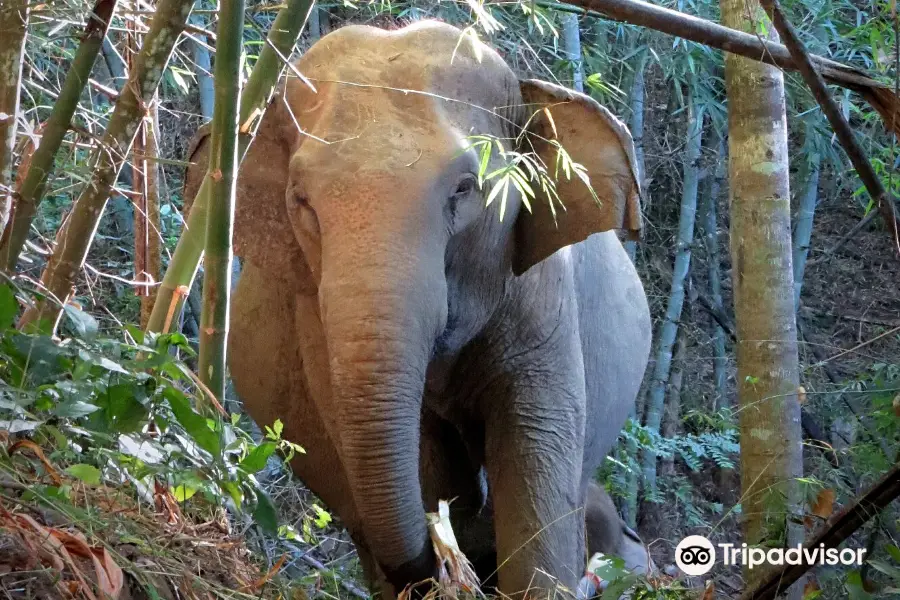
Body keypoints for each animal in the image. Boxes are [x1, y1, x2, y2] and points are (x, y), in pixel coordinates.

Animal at [183, 18, 652, 600]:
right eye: (301, 201)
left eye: (465, 187)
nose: (438, 552)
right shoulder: (313, 310)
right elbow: (427, 459)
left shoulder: (543, 299)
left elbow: (535, 441)